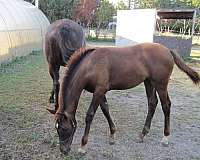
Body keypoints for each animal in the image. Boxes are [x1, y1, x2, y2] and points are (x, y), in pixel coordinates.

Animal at [48, 43, 200, 154]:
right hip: (149, 82)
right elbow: (105, 109)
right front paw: (112, 136)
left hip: (160, 84)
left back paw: (165, 137)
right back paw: (142, 135)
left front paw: (83, 146)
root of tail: (168, 50)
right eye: (57, 129)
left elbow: (90, 115)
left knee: (166, 105)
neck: (91, 64)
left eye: (64, 129)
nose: (64, 150)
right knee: (152, 103)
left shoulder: (99, 91)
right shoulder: (100, 91)